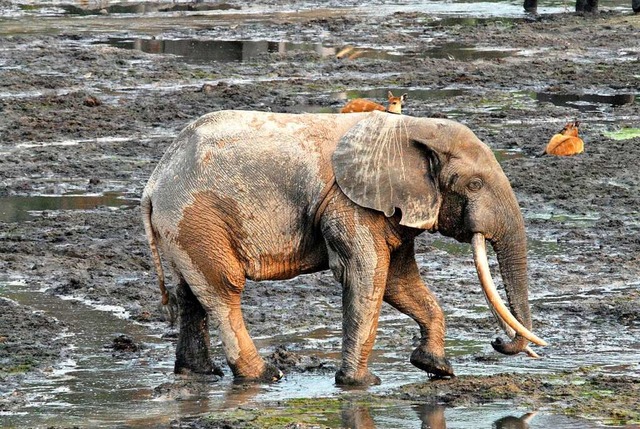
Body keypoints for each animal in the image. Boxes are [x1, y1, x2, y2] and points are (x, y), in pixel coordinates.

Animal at [142, 109, 548, 384]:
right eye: (475, 185)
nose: (497, 341)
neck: (411, 127)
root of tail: (152, 185)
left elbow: (399, 280)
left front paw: (437, 368)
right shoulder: (349, 203)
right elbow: (367, 273)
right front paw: (361, 384)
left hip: (182, 229)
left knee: (190, 294)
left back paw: (199, 374)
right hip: (197, 219)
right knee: (224, 289)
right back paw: (265, 375)